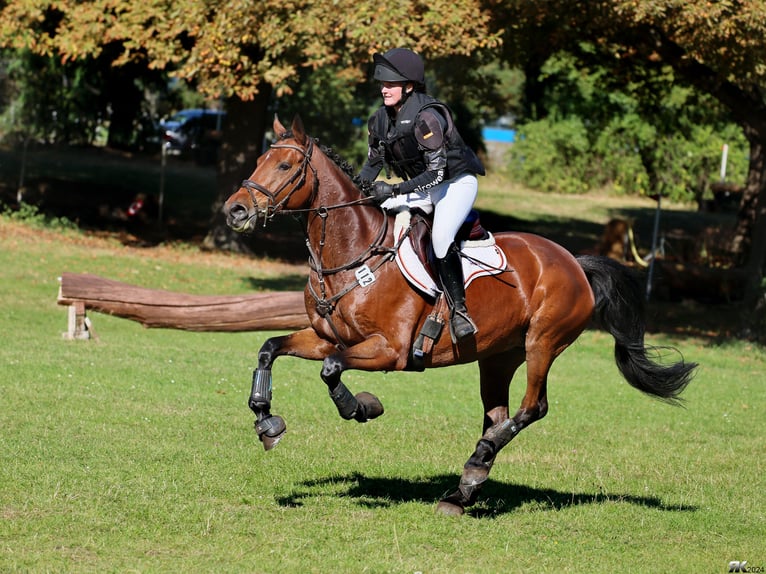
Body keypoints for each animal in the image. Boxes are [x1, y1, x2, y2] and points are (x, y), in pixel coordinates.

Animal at [223, 115, 696, 516]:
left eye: (285, 165)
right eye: (260, 160)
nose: (235, 210)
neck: (355, 253)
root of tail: (574, 262)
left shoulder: (389, 350)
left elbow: (331, 369)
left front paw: (362, 407)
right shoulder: (325, 336)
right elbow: (270, 348)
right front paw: (266, 422)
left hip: (542, 343)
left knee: (533, 407)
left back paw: (476, 462)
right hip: (498, 356)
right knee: (499, 415)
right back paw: (464, 488)